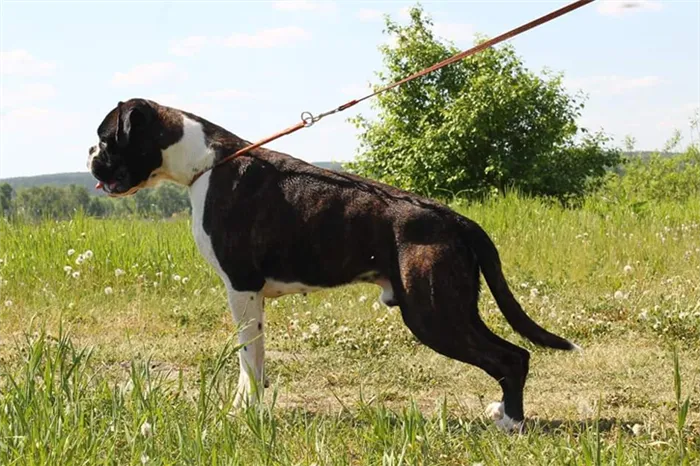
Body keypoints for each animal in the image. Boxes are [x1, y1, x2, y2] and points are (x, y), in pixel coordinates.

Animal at [89, 99, 580, 434]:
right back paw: (503, 412)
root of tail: (455, 218)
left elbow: (247, 358)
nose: (90, 154)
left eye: (107, 137)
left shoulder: (241, 288)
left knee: (512, 356)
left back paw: (511, 422)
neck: (205, 163)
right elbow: (257, 361)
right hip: (450, 309)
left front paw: (241, 411)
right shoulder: (252, 296)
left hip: (433, 315)